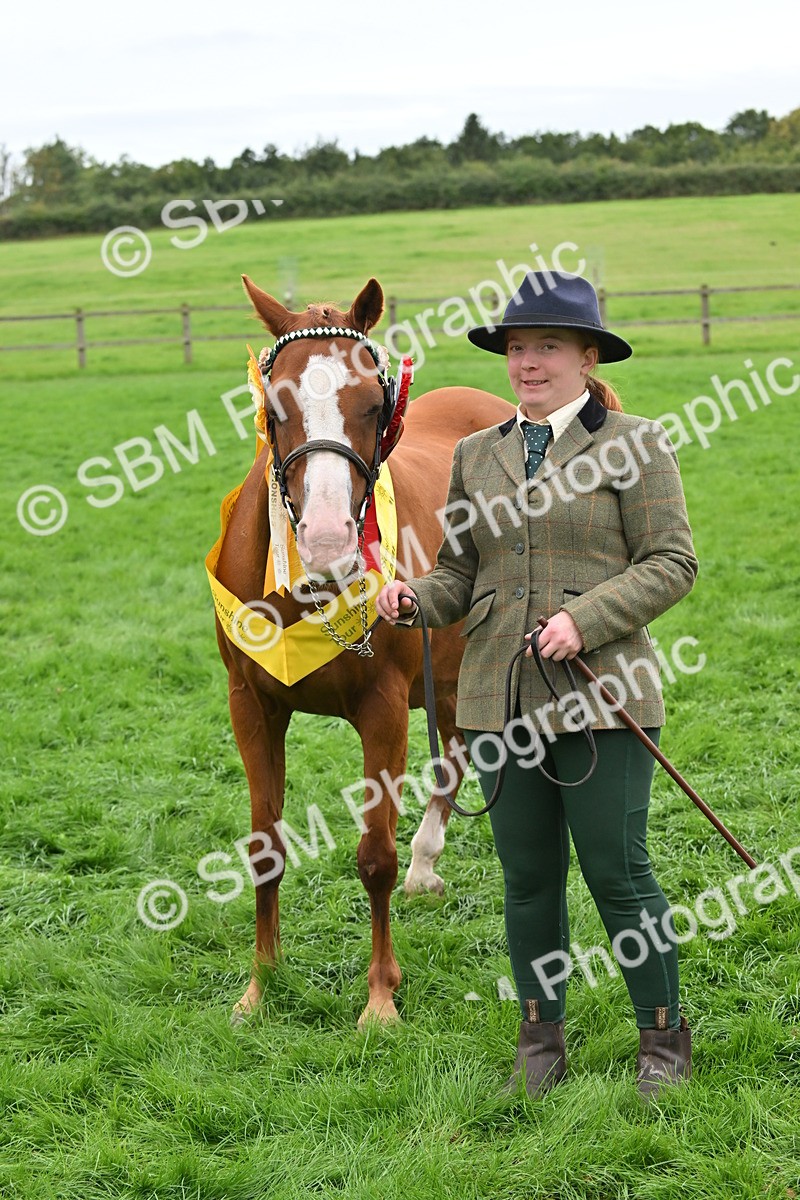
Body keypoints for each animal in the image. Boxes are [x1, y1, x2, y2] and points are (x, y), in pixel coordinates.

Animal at [212, 274, 512, 1026]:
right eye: (277, 405)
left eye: (374, 405)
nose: (326, 541)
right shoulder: (251, 707)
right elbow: (264, 846)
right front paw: (260, 984)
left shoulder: (384, 710)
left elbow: (374, 854)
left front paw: (380, 996)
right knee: (456, 745)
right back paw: (428, 861)